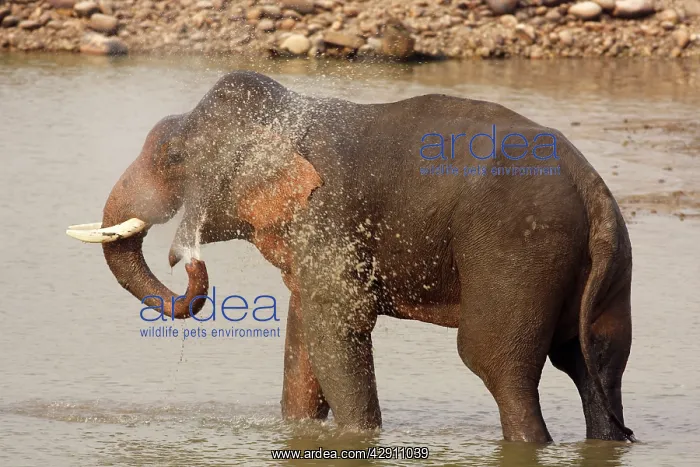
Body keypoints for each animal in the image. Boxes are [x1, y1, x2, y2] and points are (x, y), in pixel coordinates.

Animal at [66, 70, 635, 443]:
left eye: (174, 158)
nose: (186, 262)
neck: (289, 117)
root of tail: (589, 185)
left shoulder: (327, 214)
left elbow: (338, 327)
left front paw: (359, 439)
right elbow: (304, 335)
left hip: (518, 247)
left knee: (497, 364)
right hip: (606, 263)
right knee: (595, 365)